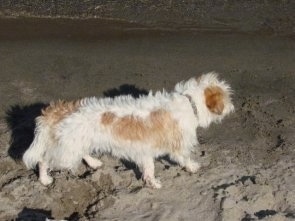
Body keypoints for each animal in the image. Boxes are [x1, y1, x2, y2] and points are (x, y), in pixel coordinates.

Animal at [22, 72, 234, 188]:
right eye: (227, 97)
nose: (233, 108)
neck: (189, 102)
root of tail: (59, 110)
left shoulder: (145, 151)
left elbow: (149, 169)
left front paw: (151, 183)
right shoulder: (177, 146)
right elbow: (184, 158)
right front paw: (192, 167)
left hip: (77, 143)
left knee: (81, 153)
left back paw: (94, 162)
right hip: (66, 152)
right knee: (43, 160)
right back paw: (44, 179)